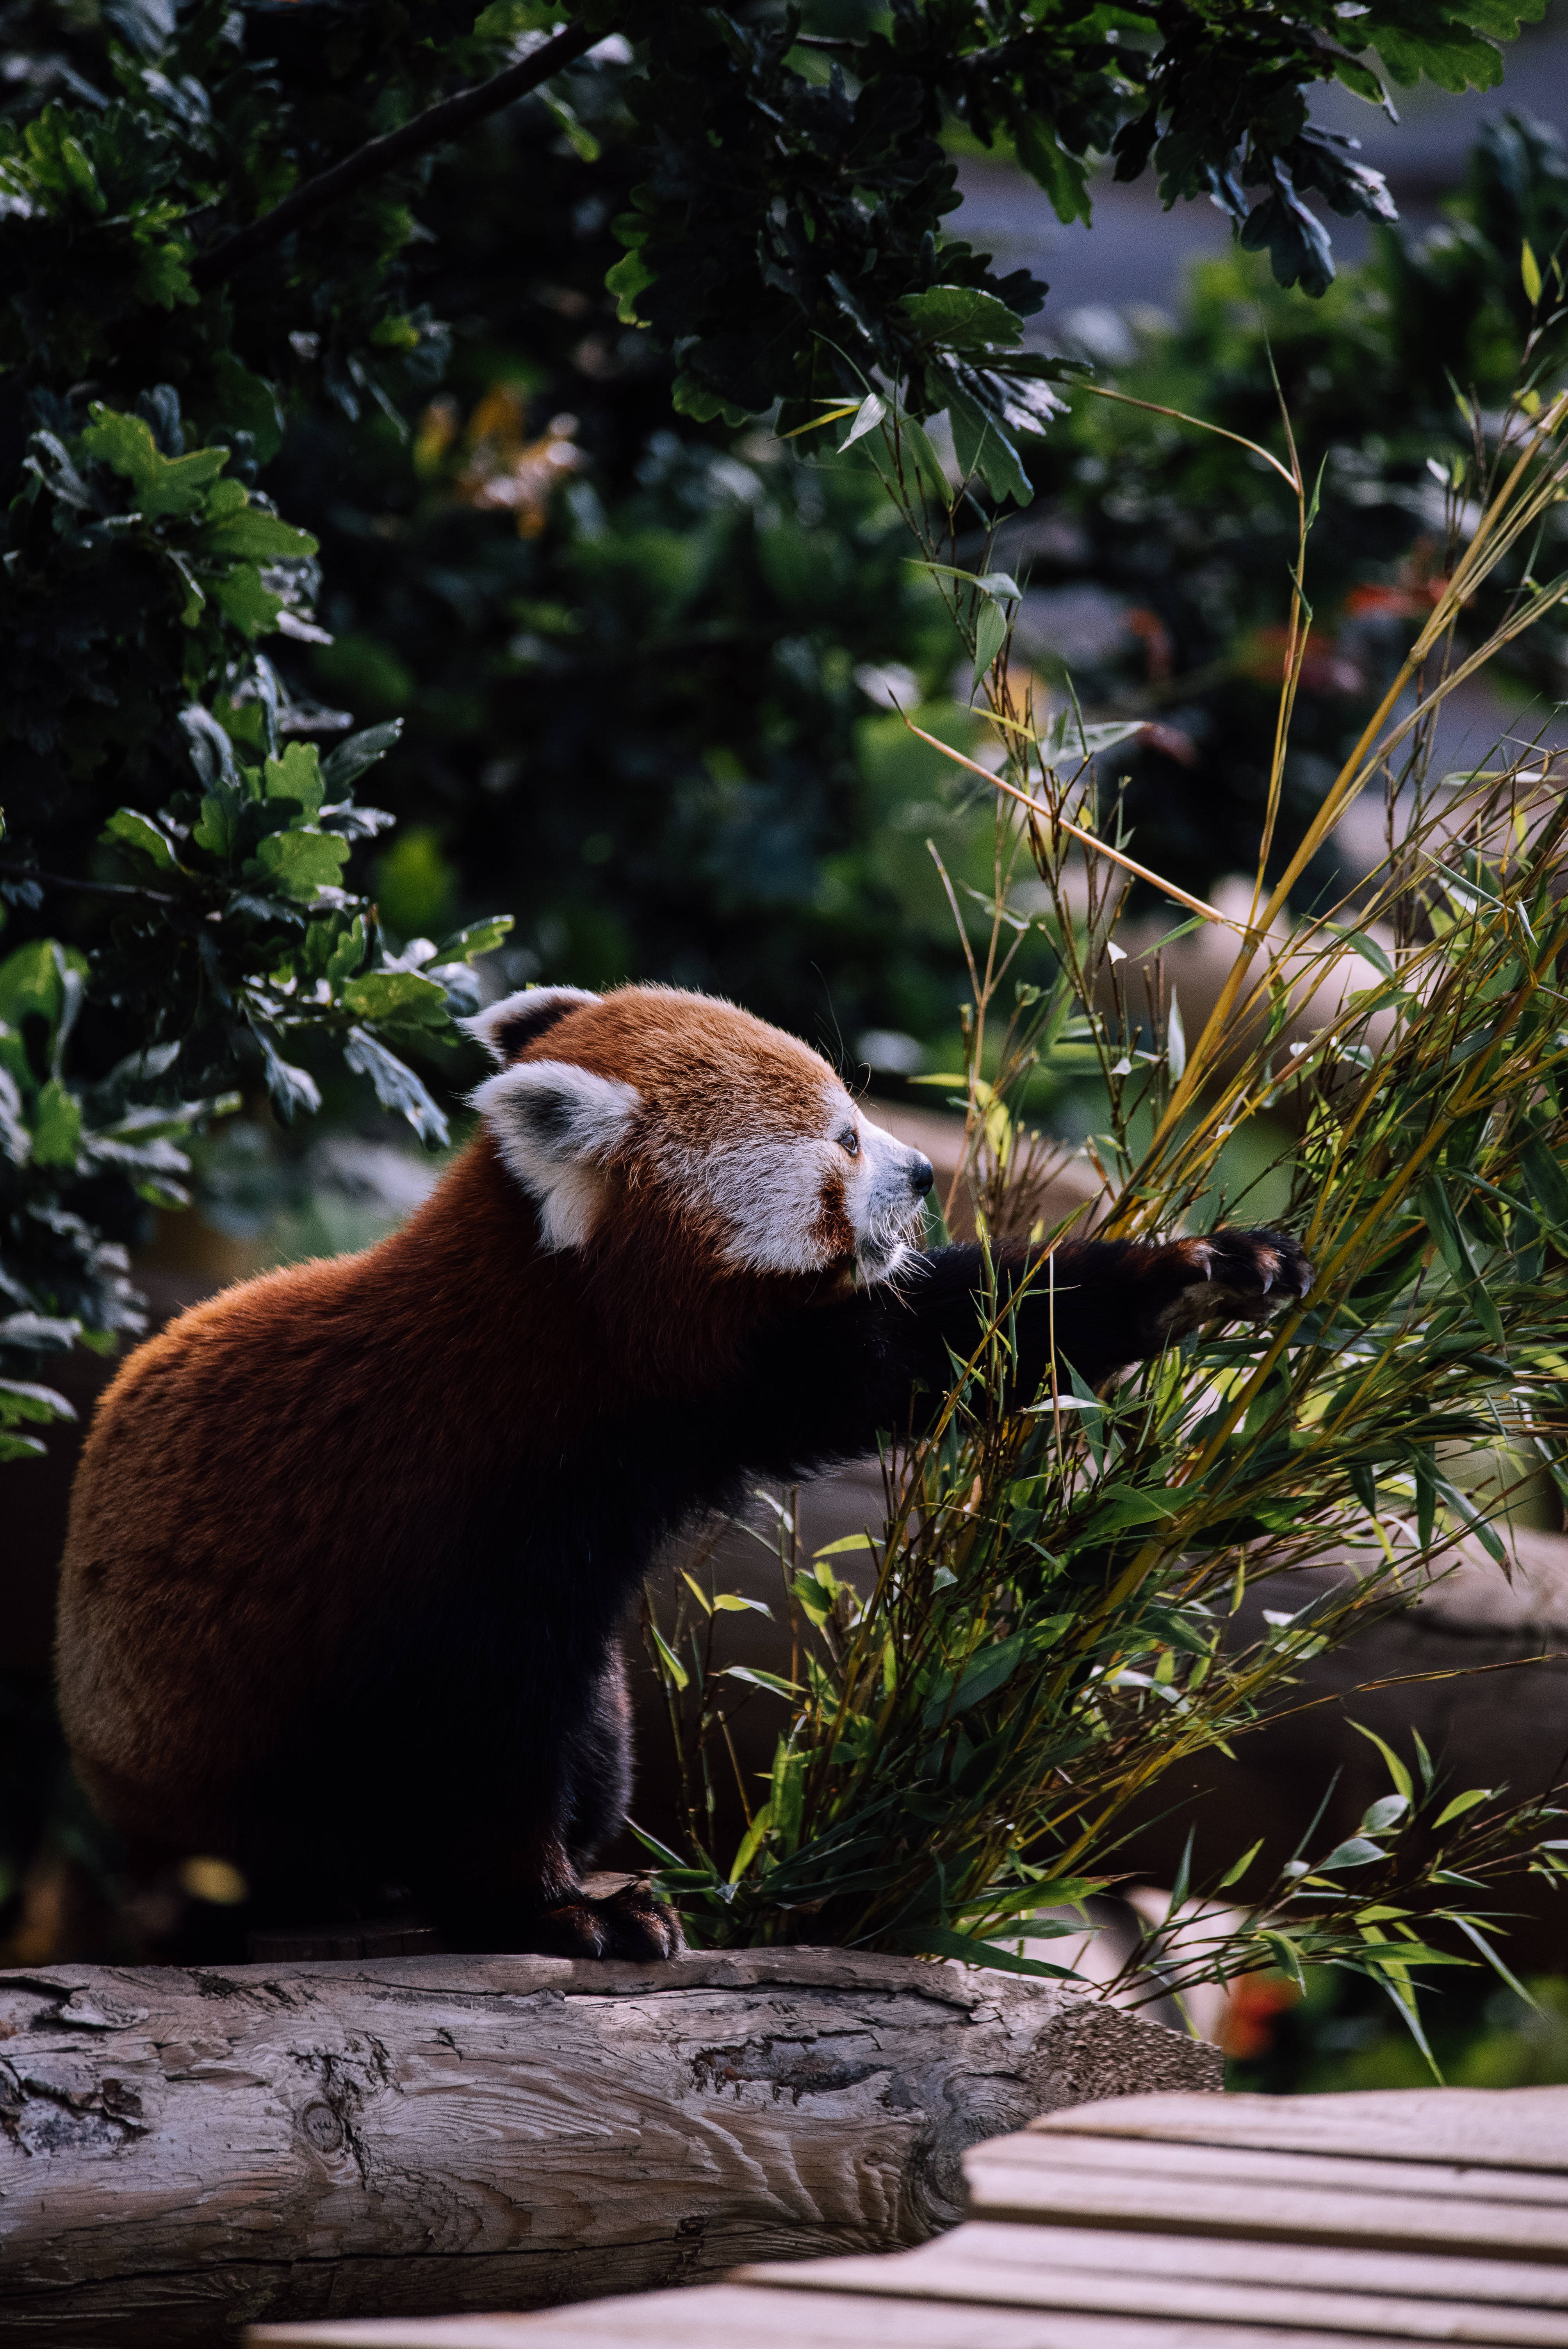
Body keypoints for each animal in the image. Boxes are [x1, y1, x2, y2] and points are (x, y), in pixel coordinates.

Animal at [55, 982, 1310, 1959]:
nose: (920, 1173)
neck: (573, 1353)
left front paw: (1201, 1270)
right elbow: (475, 1737)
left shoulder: (729, 1394)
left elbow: (942, 1341)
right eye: (844, 1138)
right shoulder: (457, 1524)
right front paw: (551, 1911)